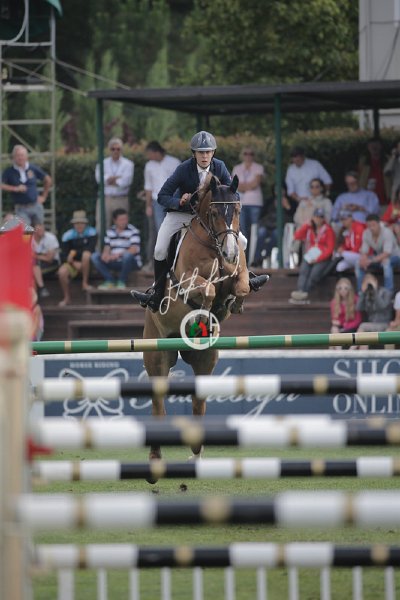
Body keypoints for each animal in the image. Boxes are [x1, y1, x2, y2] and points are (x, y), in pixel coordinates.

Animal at [142, 174, 250, 462]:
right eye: (213, 213)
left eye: (238, 210)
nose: (230, 253)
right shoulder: (189, 282)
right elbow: (209, 289)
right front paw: (207, 308)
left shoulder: (238, 274)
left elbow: (242, 286)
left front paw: (232, 304)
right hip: (156, 356)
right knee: (157, 402)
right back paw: (156, 455)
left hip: (206, 360)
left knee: (198, 403)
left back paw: (196, 453)